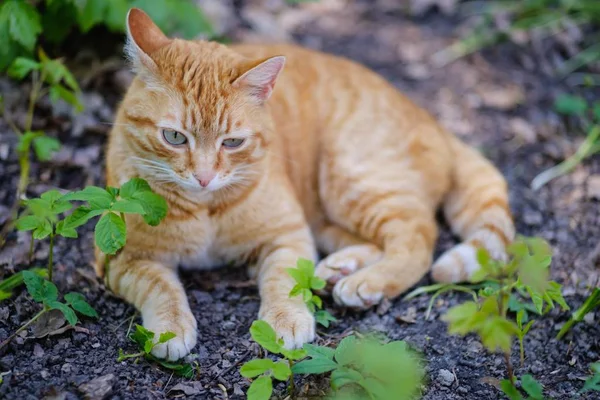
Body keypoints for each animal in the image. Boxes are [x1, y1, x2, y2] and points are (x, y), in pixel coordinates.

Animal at [98, 8, 516, 360]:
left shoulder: (287, 236)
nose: (204, 177)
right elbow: (160, 287)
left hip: (351, 177)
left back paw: (366, 281)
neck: (205, 209)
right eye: (174, 137)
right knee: (376, 241)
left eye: (232, 142)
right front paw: (168, 330)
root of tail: (433, 118)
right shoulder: (121, 259)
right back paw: (339, 269)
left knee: (417, 239)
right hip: (328, 212)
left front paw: (285, 321)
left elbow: (284, 280)